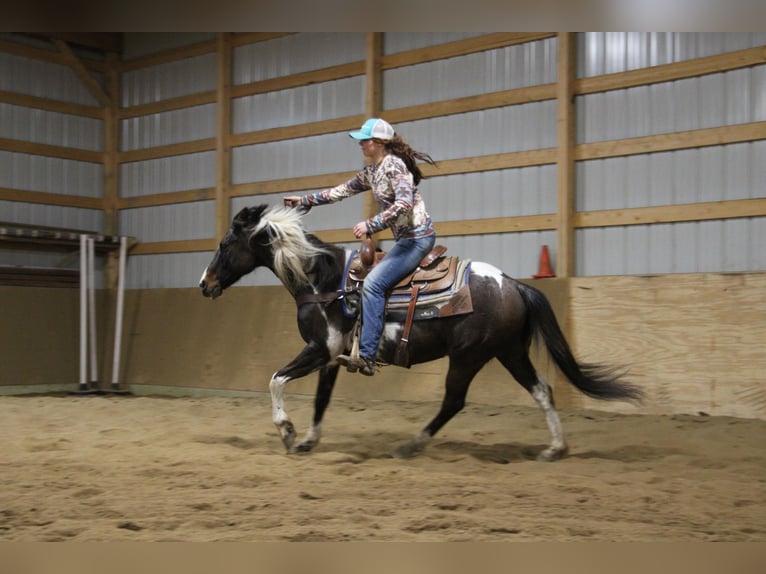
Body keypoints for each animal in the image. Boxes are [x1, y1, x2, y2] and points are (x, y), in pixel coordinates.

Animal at [201, 207, 644, 464]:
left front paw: (287, 432)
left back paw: (412, 445)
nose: (205, 284)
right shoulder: (330, 356)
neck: (321, 280)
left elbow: (275, 380)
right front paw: (307, 440)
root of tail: (514, 285)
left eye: (225, 243)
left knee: (453, 401)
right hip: (509, 352)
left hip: (468, 357)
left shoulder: (318, 349)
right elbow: (321, 401)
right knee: (541, 390)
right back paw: (554, 448)